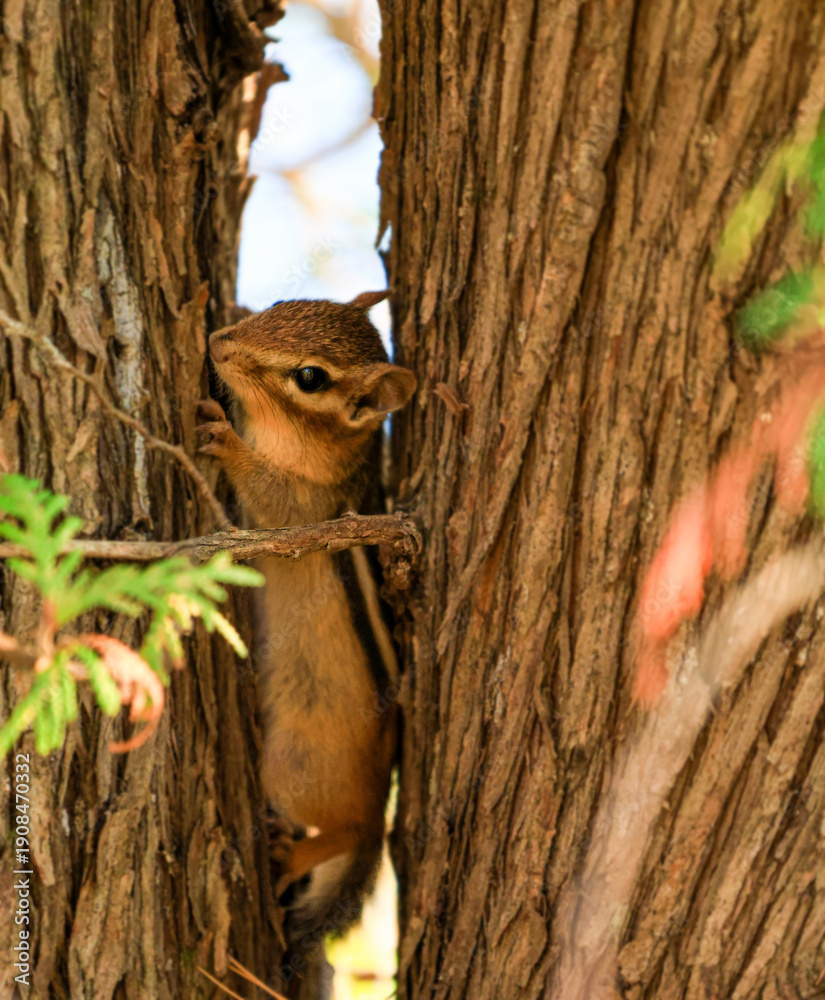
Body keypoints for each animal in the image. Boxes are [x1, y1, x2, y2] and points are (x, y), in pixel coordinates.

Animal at [196, 291, 416, 944]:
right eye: (279, 303)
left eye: (310, 378)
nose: (217, 342)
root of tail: (379, 795)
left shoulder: (304, 510)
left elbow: (269, 490)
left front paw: (229, 442)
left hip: (295, 771)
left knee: (346, 832)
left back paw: (294, 855)